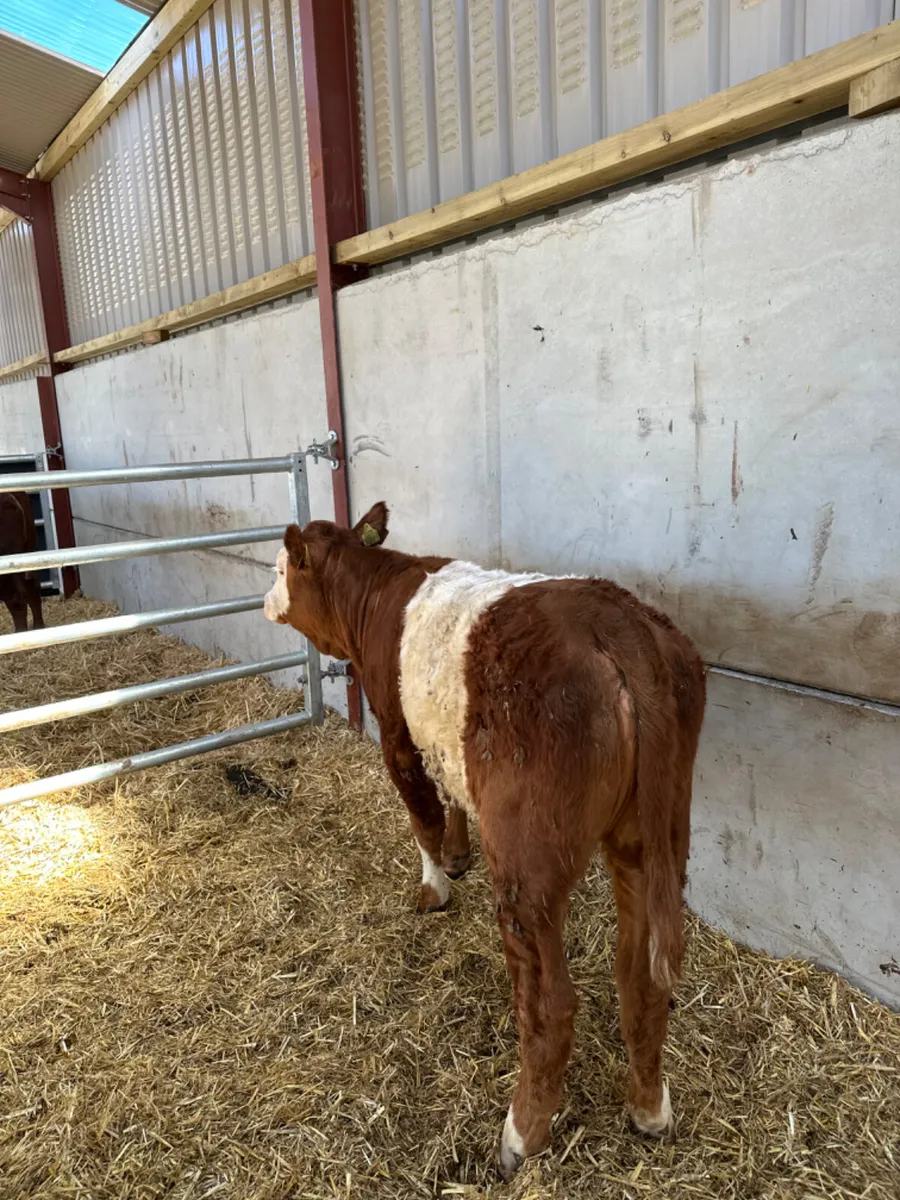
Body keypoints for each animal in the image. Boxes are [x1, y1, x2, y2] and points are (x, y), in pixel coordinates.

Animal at [264, 503, 706, 1178]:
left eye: (279, 567)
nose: (265, 600)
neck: (375, 593)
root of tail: (620, 626)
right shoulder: (443, 747)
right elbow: (449, 798)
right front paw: (456, 855)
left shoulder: (397, 733)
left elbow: (420, 812)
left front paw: (434, 886)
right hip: (655, 834)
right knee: (642, 976)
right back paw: (649, 1109)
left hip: (529, 857)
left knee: (551, 1003)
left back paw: (521, 1135)